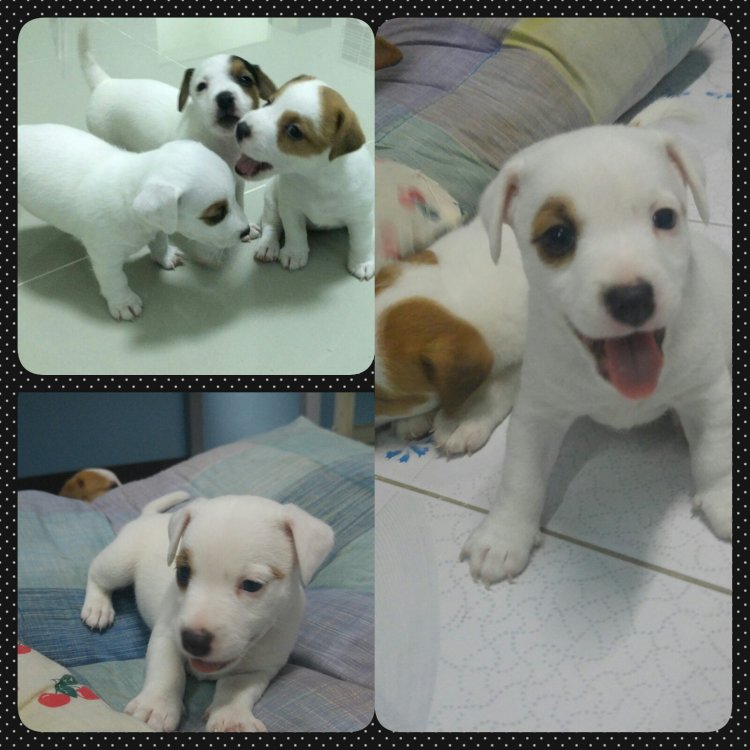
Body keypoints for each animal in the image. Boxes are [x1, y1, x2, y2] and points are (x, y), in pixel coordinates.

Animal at [18, 124, 252, 320]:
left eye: (235, 197)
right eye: (216, 215)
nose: (246, 231)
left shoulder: (158, 227)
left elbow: (160, 243)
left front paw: (165, 256)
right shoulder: (105, 256)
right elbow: (115, 280)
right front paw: (124, 302)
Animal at [81, 491, 334, 732]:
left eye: (252, 585)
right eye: (183, 572)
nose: (193, 641)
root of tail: (149, 517)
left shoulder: (260, 667)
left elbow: (236, 688)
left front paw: (232, 718)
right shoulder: (167, 635)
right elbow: (167, 672)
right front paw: (155, 706)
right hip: (119, 563)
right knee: (95, 572)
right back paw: (97, 607)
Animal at [234, 75, 374, 280]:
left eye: (294, 131)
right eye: (269, 102)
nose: (239, 127)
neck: (316, 179)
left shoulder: (361, 216)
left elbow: (361, 241)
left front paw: (362, 263)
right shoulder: (291, 209)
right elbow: (295, 232)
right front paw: (295, 253)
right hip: (271, 199)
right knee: (271, 225)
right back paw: (268, 246)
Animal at [461, 121, 732, 586]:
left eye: (665, 218)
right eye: (558, 236)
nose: (632, 298)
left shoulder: (710, 390)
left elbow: (717, 451)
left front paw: (725, 498)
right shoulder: (537, 411)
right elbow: (520, 476)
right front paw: (504, 535)